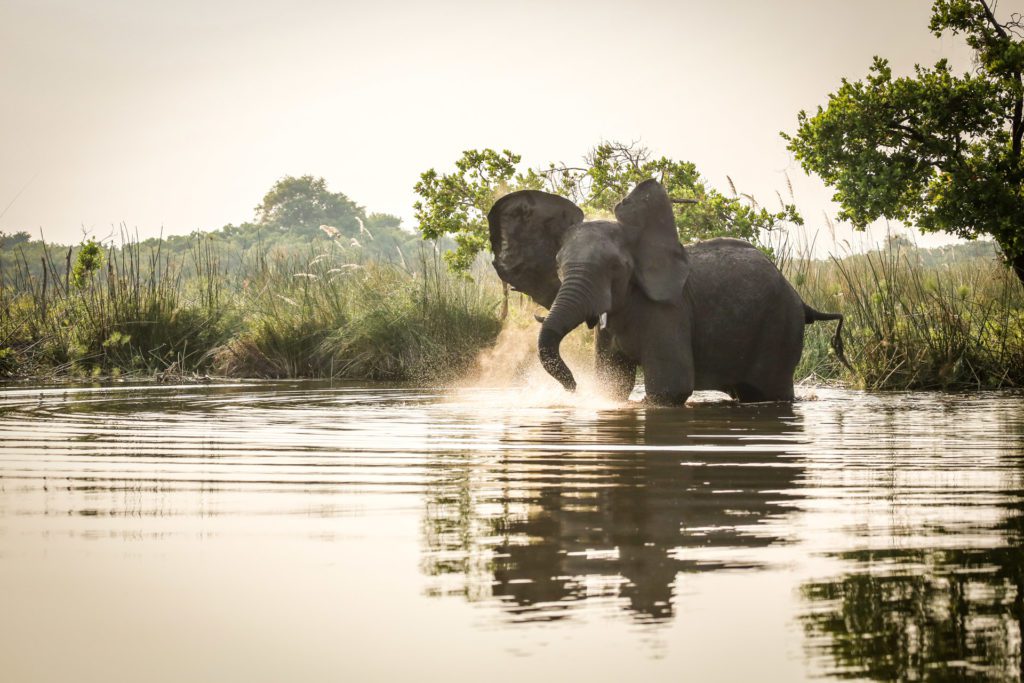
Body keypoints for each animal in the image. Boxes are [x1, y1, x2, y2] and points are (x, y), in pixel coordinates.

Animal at [487, 180, 847, 405]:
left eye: (616, 267)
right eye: (558, 266)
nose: (574, 388)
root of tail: (801, 300)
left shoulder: (670, 311)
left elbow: (670, 390)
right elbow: (614, 385)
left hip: (781, 327)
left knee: (770, 392)